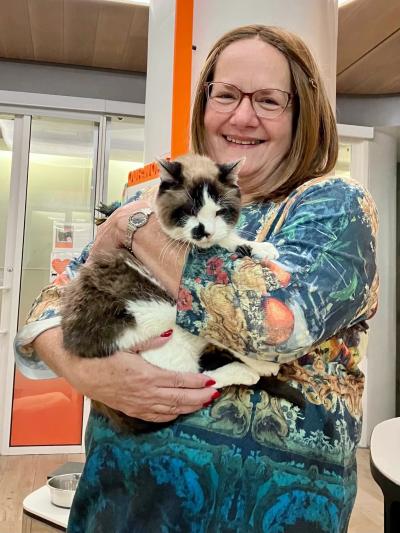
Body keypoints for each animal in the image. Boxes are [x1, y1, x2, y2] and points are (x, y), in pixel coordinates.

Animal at [61, 152, 296, 430]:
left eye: (219, 211)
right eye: (189, 211)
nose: (203, 231)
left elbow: (227, 239)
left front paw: (258, 247)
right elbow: (224, 329)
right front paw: (260, 363)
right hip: (160, 314)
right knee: (198, 380)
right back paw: (246, 371)